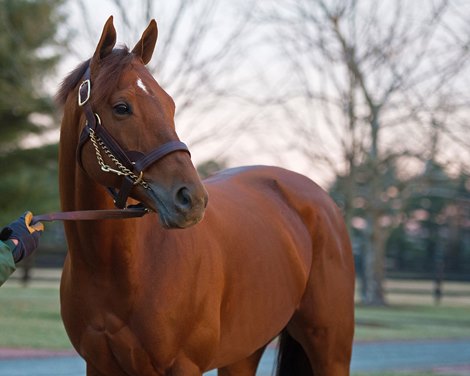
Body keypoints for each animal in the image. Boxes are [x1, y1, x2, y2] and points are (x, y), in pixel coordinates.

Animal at [57, 16, 354, 374]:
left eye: (170, 104)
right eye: (122, 107)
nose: (191, 199)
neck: (118, 268)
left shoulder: (184, 365)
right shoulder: (98, 365)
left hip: (330, 351)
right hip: (243, 352)